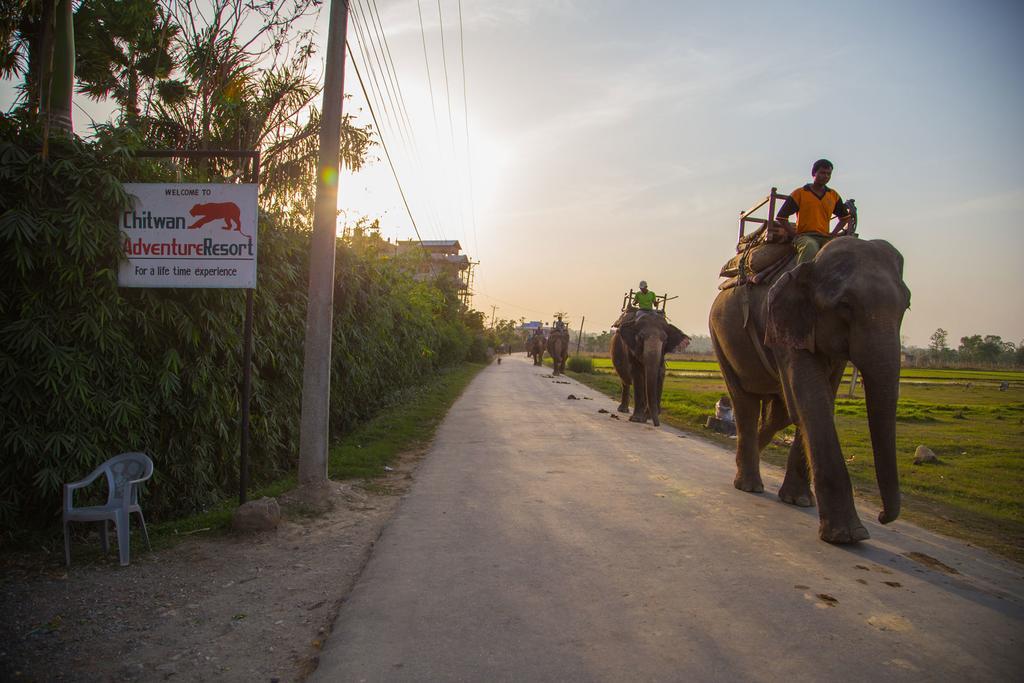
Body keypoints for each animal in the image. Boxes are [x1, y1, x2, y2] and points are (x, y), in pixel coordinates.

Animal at [712, 236, 913, 544]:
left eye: (906, 306)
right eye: (845, 305)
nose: (882, 515)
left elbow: (823, 398)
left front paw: (799, 501)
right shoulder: (780, 323)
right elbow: (811, 399)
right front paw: (848, 535)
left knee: (779, 413)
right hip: (721, 340)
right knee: (745, 403)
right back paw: (747, 484)